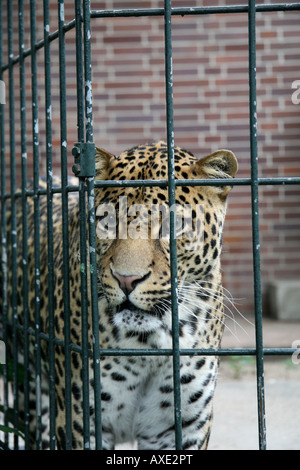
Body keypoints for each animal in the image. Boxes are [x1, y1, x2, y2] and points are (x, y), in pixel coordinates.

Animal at [1, 141, 238, 450]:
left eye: (173, 224)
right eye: (106, 222)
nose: (127, 280)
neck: (150, 345)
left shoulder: (182, 427)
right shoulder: (82, 423)